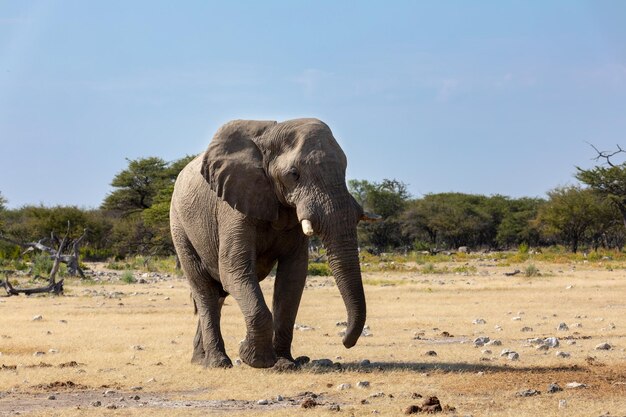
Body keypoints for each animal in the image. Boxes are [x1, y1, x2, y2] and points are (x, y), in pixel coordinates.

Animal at [168, 117, 368, 368]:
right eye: (294, 174)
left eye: (344, 169)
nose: (344, 341)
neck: (271, 134)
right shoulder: (232, 207)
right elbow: (234, 269)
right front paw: (255, 358)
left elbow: (292, 278)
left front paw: (285, 363)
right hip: (179, 226)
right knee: (205, 291)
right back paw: (217, 362)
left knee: (217, 295)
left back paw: (200, 360)